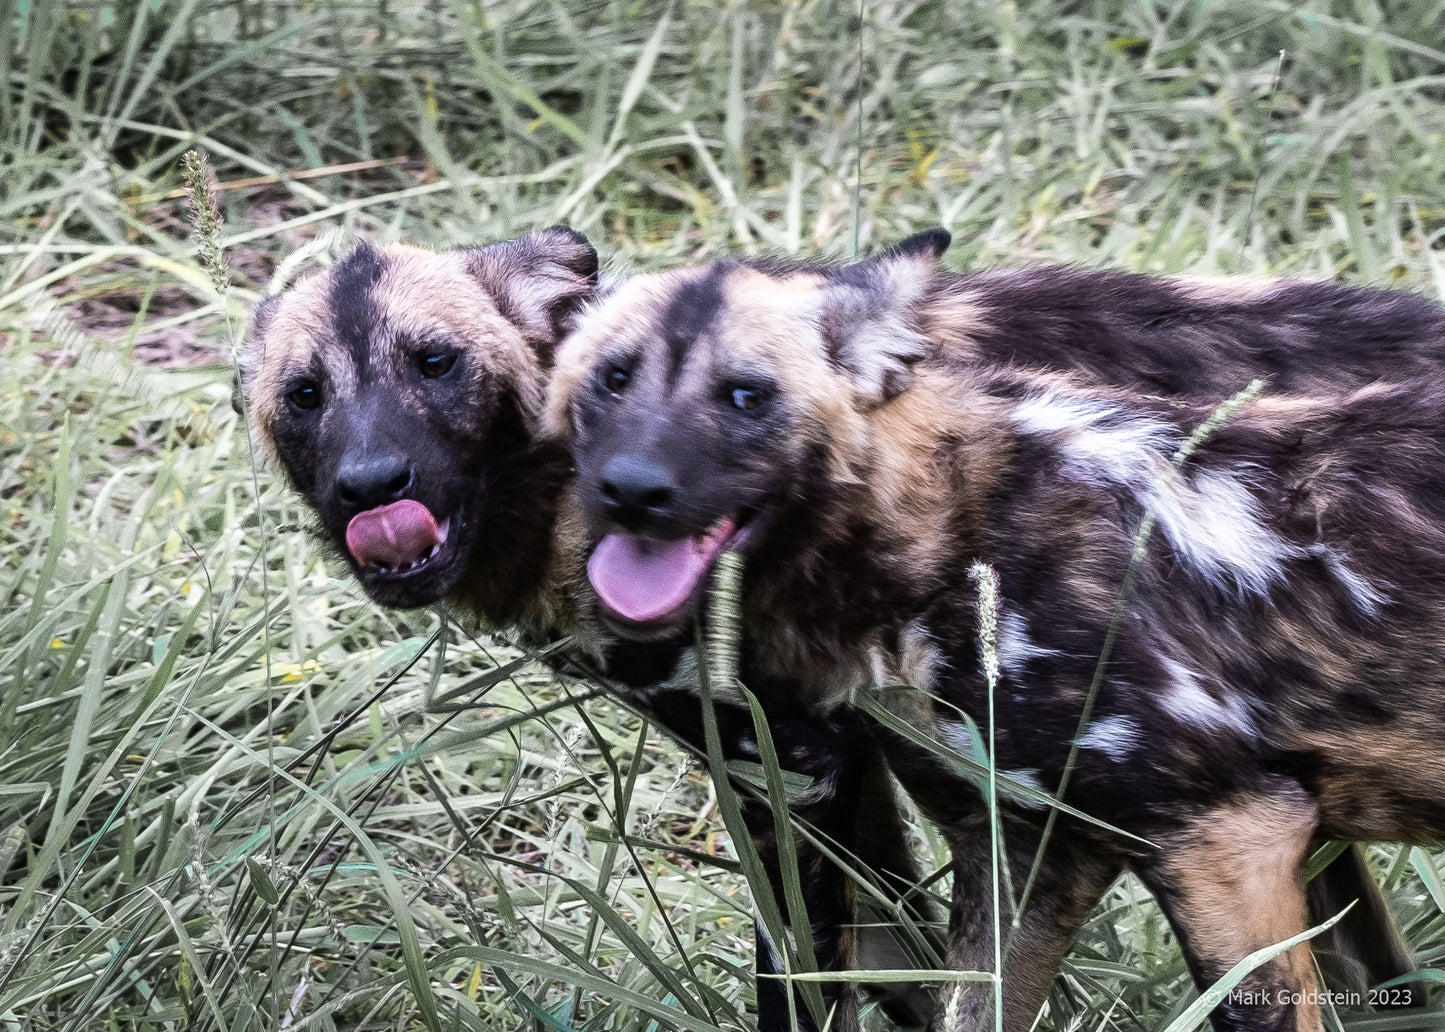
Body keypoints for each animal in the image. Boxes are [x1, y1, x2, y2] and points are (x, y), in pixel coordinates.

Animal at [543, 235, 1445, 1029]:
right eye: (611, 380)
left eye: (745, 395)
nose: (630, 490)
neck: (953, 529)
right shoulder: (1023, 855)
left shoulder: (1227, 834)